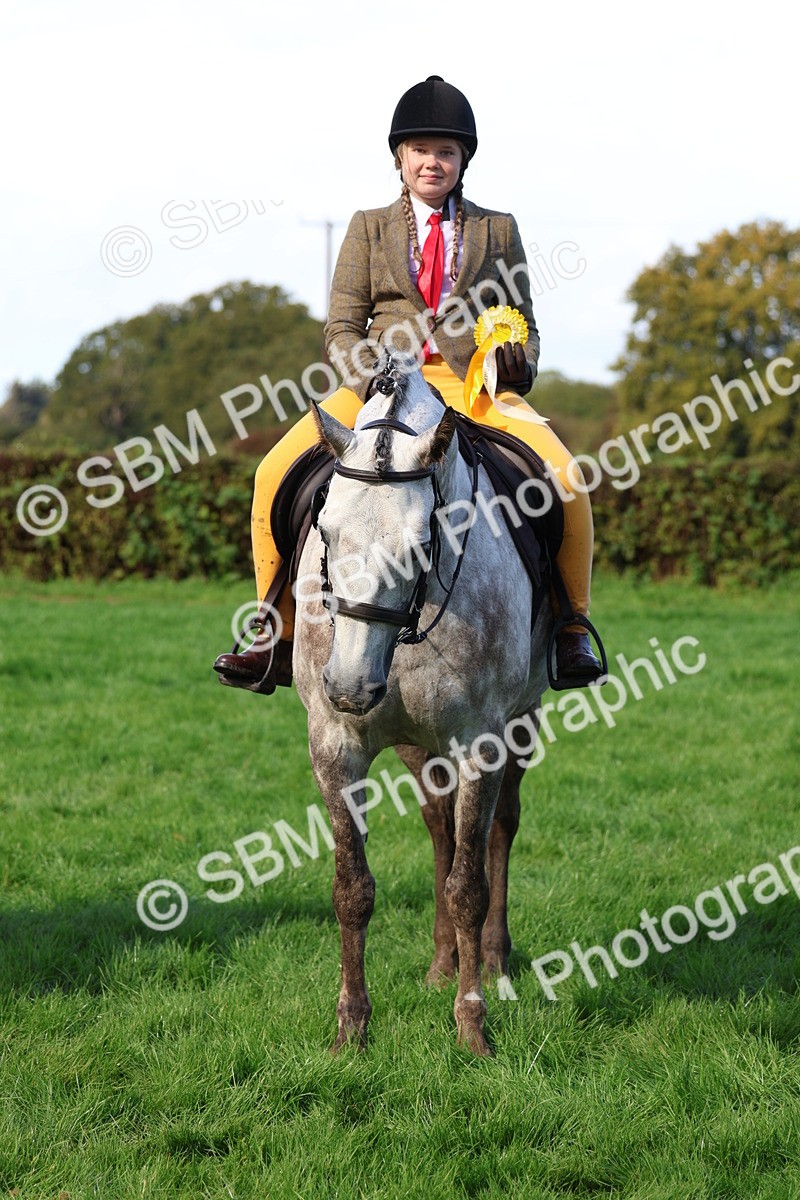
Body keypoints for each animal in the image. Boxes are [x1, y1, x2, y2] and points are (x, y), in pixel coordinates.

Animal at [292, 348, 552, 1056]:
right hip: (418, 744)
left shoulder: (482, 743)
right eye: (326, 530)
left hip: (520, 722)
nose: (349, 685)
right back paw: (440, 964)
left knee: (500, 827)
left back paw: (490, 960)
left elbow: (469, 885)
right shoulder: (335, 746)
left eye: (418, 542)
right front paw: (351, 1028)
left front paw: (473, 1027)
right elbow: (351, 888)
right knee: (440, 825)